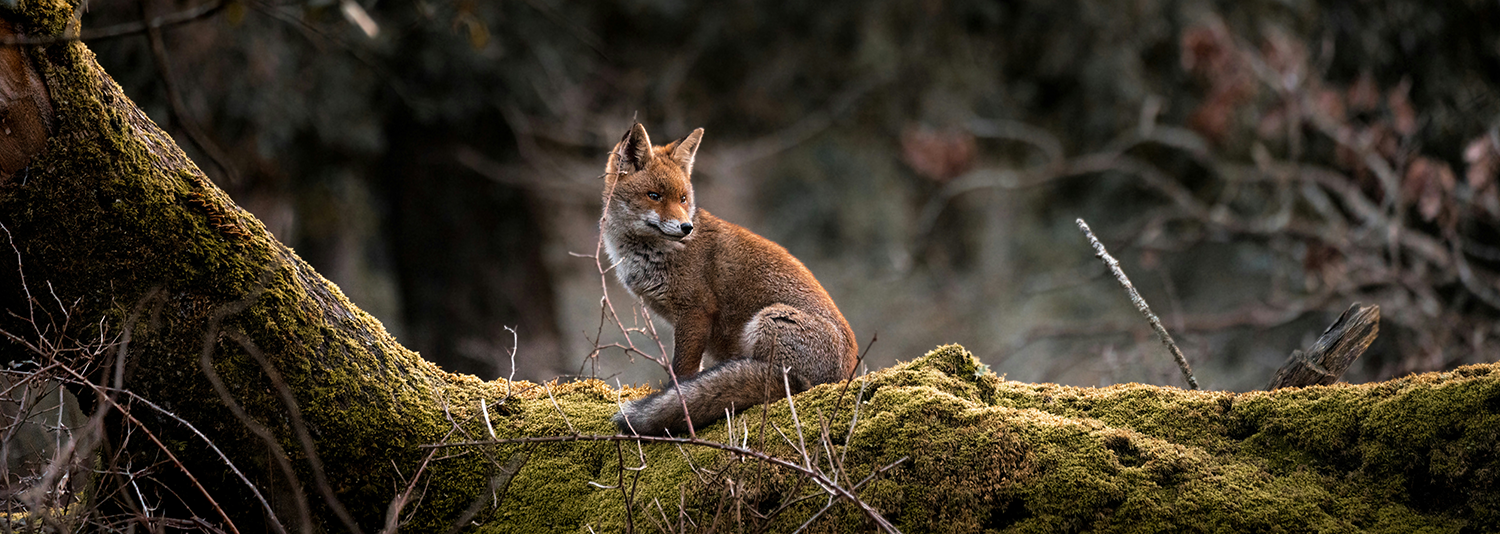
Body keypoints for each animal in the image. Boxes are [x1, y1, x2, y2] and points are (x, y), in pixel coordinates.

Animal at [601, 122, 859, 436]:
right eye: (654, 196)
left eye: (683, 199)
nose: (686, 227)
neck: (650, 254)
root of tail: (844, 376)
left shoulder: (696, 312)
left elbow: (682, 372)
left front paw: (677, 401)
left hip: (769, 321)